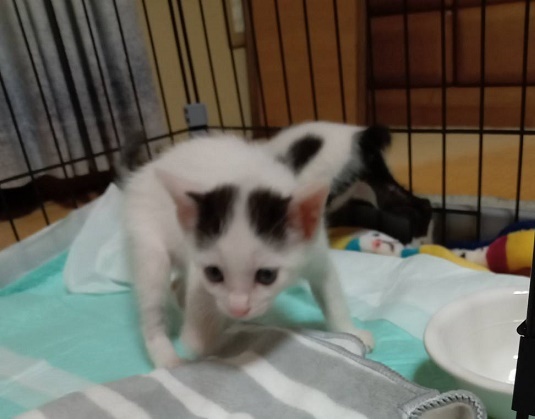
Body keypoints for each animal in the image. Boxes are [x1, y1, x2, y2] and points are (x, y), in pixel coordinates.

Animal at [122, 133, 374, 368]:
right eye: (214, 273)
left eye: (266, 275)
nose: (238, 309)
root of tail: (142, 173)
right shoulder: (198, 264)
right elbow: (200, 305)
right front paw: (202, 343)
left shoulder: (315, 251)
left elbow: (331, 292)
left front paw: (351, 331)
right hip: (146, 239)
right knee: (153, 299)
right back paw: (166, 355)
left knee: (176, 286)